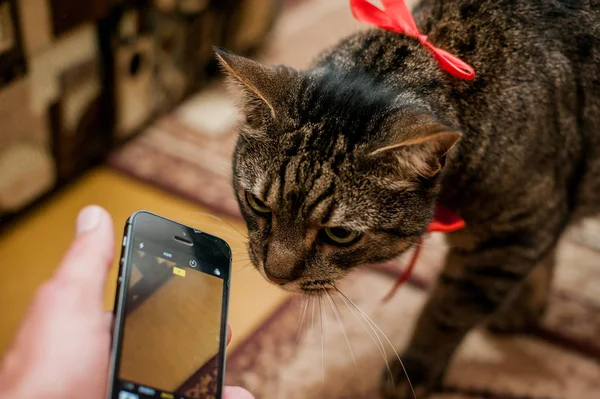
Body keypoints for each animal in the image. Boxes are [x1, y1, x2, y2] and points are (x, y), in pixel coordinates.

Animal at [216, 1, 600, 398]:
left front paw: (415, 369)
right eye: (258, 204)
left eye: (340, 234)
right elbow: (544, 256)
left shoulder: (510, 235)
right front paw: (525, 308)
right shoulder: (538, 217)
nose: (274, 275)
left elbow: (446, 311)